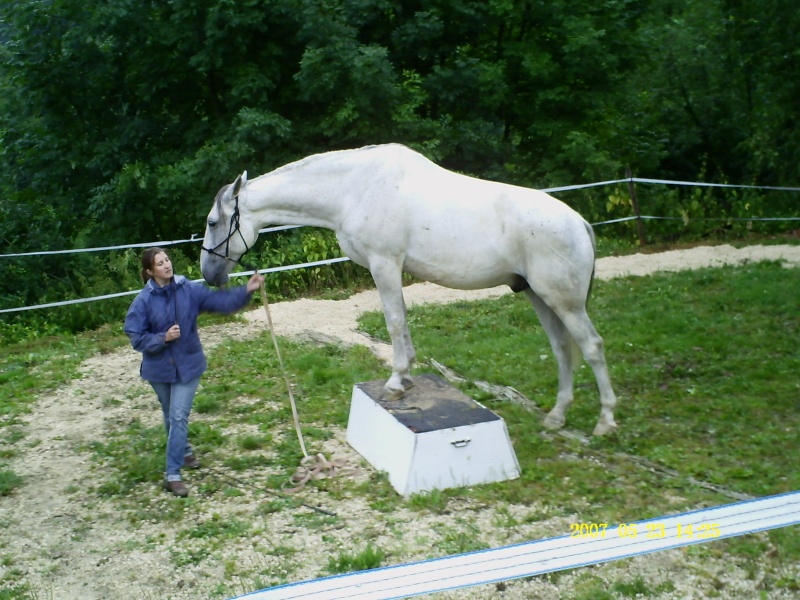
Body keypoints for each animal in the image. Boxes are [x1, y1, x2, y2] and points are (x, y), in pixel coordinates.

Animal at [202, 145, 620, 436]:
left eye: (212, 222)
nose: (208, 274)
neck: (355, 188)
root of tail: (580, 223)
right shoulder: (393, 269)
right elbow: (401, 322)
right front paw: (406, 378)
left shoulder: (384, 265)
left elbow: (392, 321)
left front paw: (395, 382)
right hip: (539, 297)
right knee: (563, 350)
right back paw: (557, 417)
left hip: (564, 303)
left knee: (593, 347)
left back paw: (605, 422)